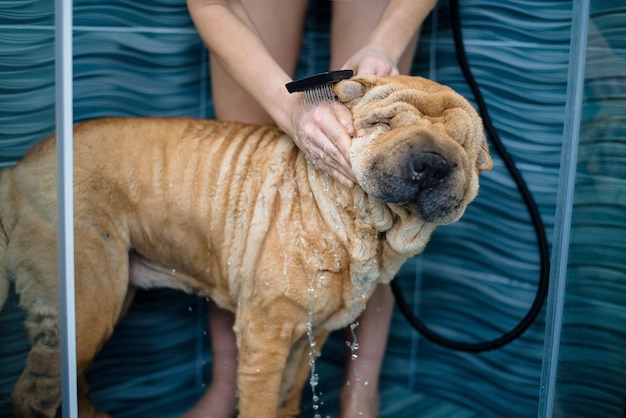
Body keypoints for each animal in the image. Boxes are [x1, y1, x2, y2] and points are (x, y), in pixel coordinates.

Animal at [0, 75, 492, 418]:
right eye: (383, 122)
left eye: (461, 145)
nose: (432, 162)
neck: (360, 229)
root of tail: (14, 172)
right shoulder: (264, 337)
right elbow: (259, 404)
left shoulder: (308, 338)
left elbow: (287, 399)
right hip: (89, 298)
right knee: (34, 393)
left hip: (109, 297)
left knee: (70, 381)